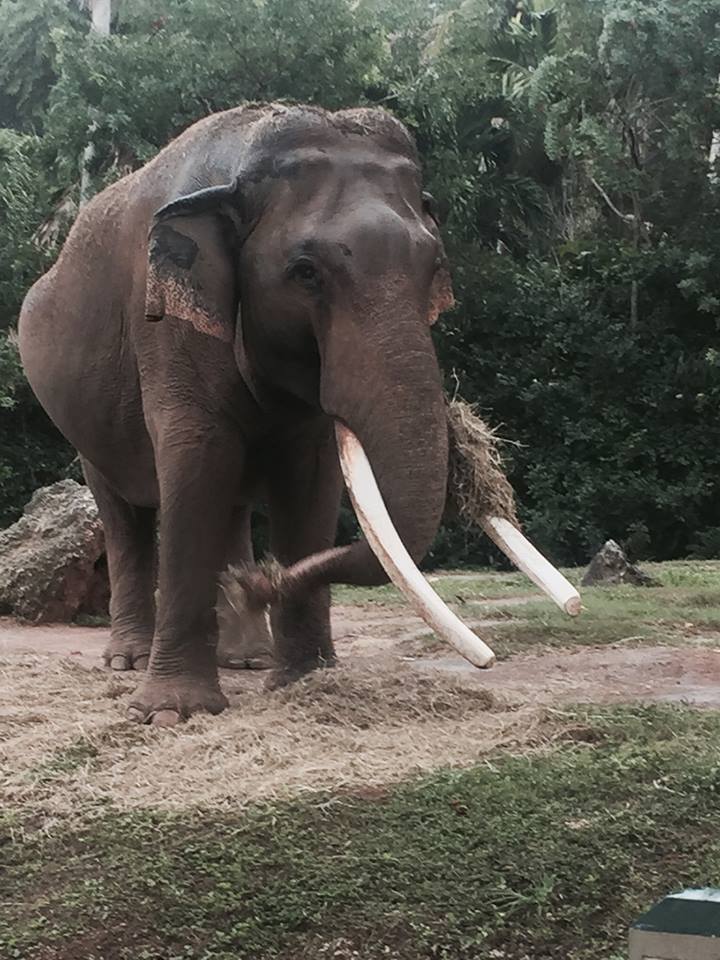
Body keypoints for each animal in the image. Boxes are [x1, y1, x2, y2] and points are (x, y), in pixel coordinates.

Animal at [18, 103, 462, 726]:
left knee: (227, 502)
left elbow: (310, 478)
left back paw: (247, 657)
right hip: (83, 423)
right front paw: (170, 714)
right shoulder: (168, 328)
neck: (241, 163)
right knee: (123, 511)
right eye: (305, 272)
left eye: (434, 267)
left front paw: (303, 681)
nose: (261, 580)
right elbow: (197, 461)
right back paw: (128, 661)